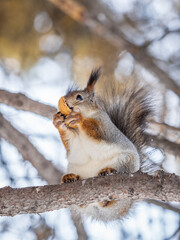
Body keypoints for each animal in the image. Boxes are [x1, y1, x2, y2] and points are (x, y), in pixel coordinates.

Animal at [52, 68, 153, 221]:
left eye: (79, 97)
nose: (65, 100)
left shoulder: (105, 127)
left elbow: (96, 132)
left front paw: (78, 118)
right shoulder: (74, 139)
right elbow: (70, 142)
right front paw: (58, 121)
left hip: (125, 162)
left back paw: (108, 174)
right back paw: (70, 178)